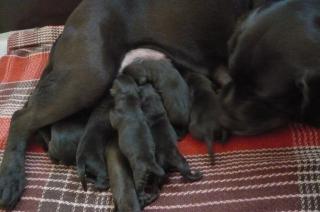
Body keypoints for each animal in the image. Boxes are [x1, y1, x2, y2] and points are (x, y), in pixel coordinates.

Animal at [110, 74, 165, 202]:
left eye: (115, 81)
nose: (119, 74)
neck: (130, 99)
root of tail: (150, 163)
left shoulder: (115, 118)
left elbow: (111, 117)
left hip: (139, 176)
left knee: (140, 190)